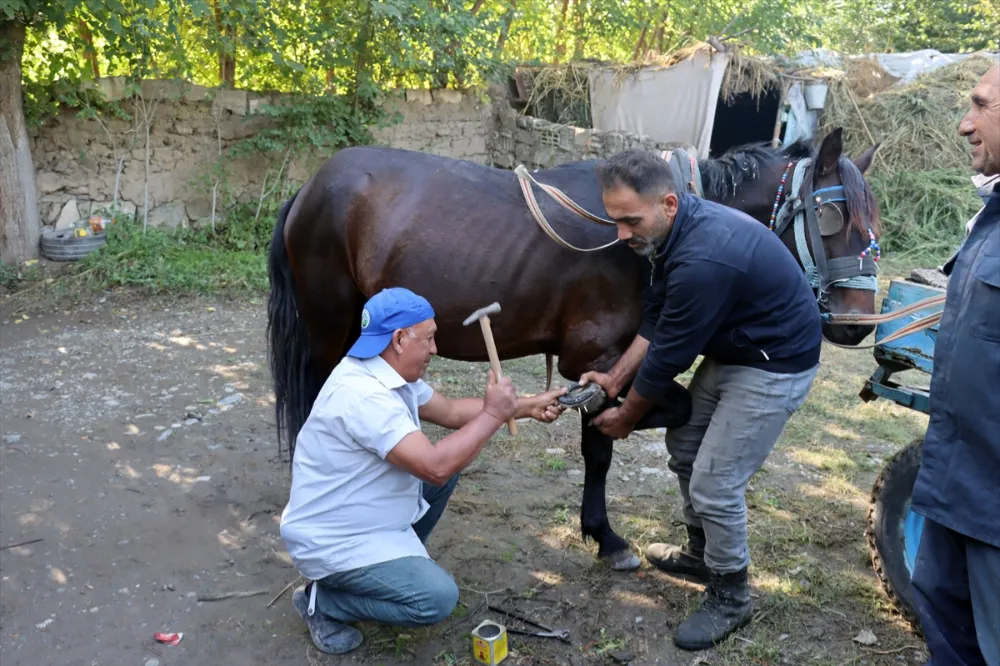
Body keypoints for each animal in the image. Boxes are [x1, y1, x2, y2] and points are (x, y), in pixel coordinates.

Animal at [268, 127, 884, 568]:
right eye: (831, 215)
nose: (858, 324)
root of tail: (311, 188)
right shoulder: (595, 357)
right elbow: (605, 442)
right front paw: (605, 534)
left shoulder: (614, 358)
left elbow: (635, 416)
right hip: (330, 324)